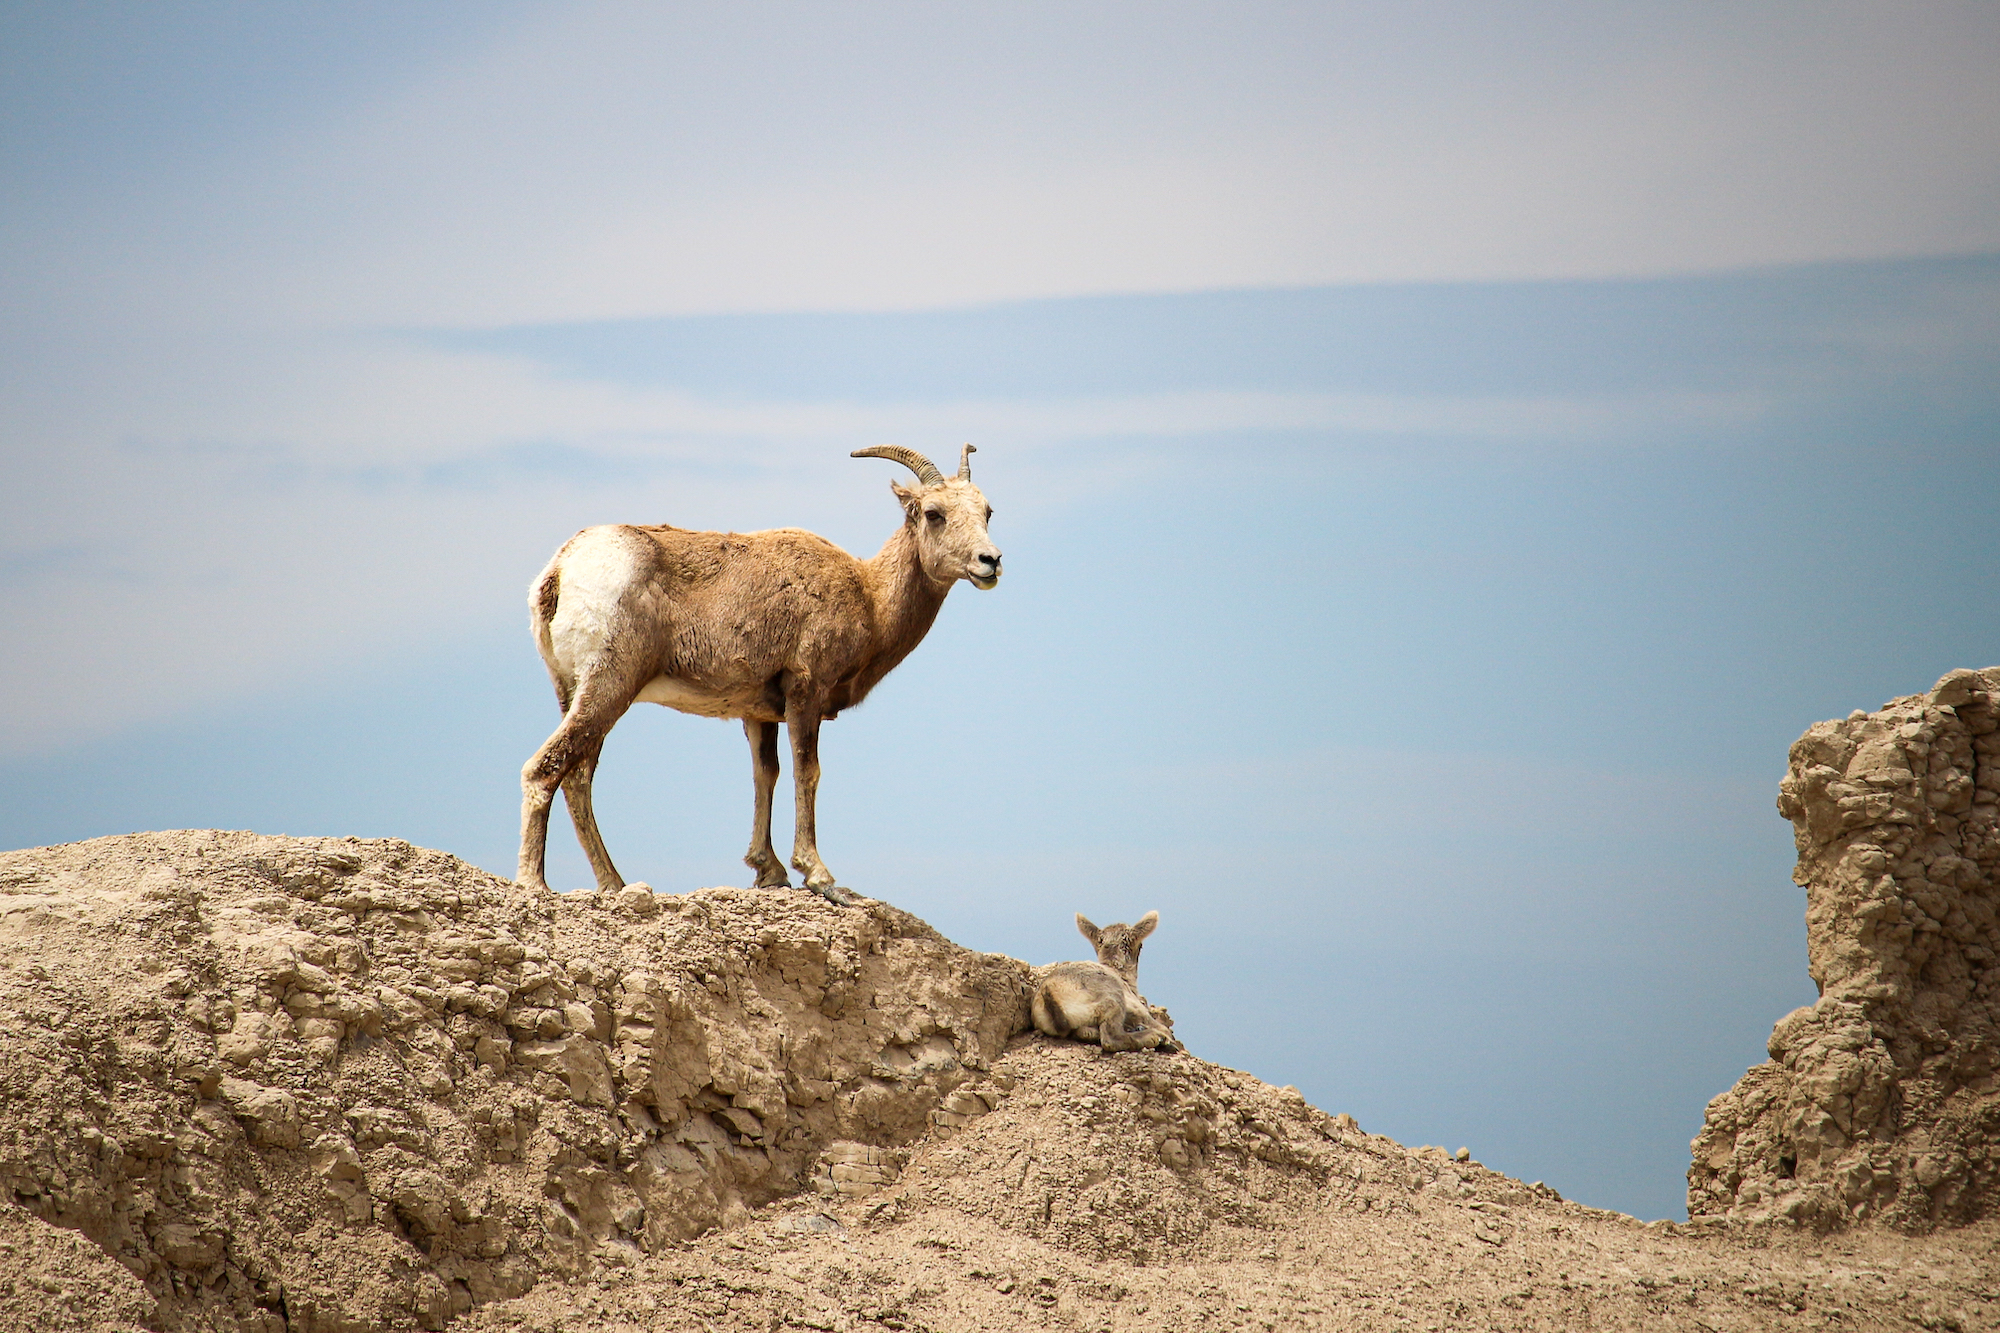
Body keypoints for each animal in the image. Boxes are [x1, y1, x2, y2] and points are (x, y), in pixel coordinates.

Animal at [516, 444, 1002, 905]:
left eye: (987, 511)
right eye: (934, 513)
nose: (990, 561)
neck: (869, 595)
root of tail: (558, 572)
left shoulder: (760, 713)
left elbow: (765, 773)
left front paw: (769, 872)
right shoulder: (806, 692)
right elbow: (807, 770)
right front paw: (819, 876)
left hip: (576, 692)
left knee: (576, 778)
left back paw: (613, 884)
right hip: (609, 687)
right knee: (545, 769)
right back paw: (533, 884)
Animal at [1031, 911, 1177, 1052]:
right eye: (1140, 946)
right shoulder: (1137, 1009)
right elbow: (1164, 1029)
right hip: (1112, 1000)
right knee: (1110, 1039)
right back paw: (1153, 1038)